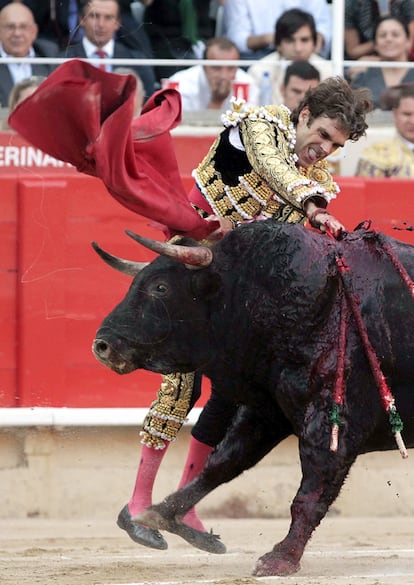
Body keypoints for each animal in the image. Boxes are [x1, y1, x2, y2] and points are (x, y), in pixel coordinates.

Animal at [91, 221, 414, 576]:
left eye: (160, 287)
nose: (102, 345)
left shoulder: (333, 422)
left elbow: (310, 493)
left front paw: (281, 558)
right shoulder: (266, 410)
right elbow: (222, 463)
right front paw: (158, 513)